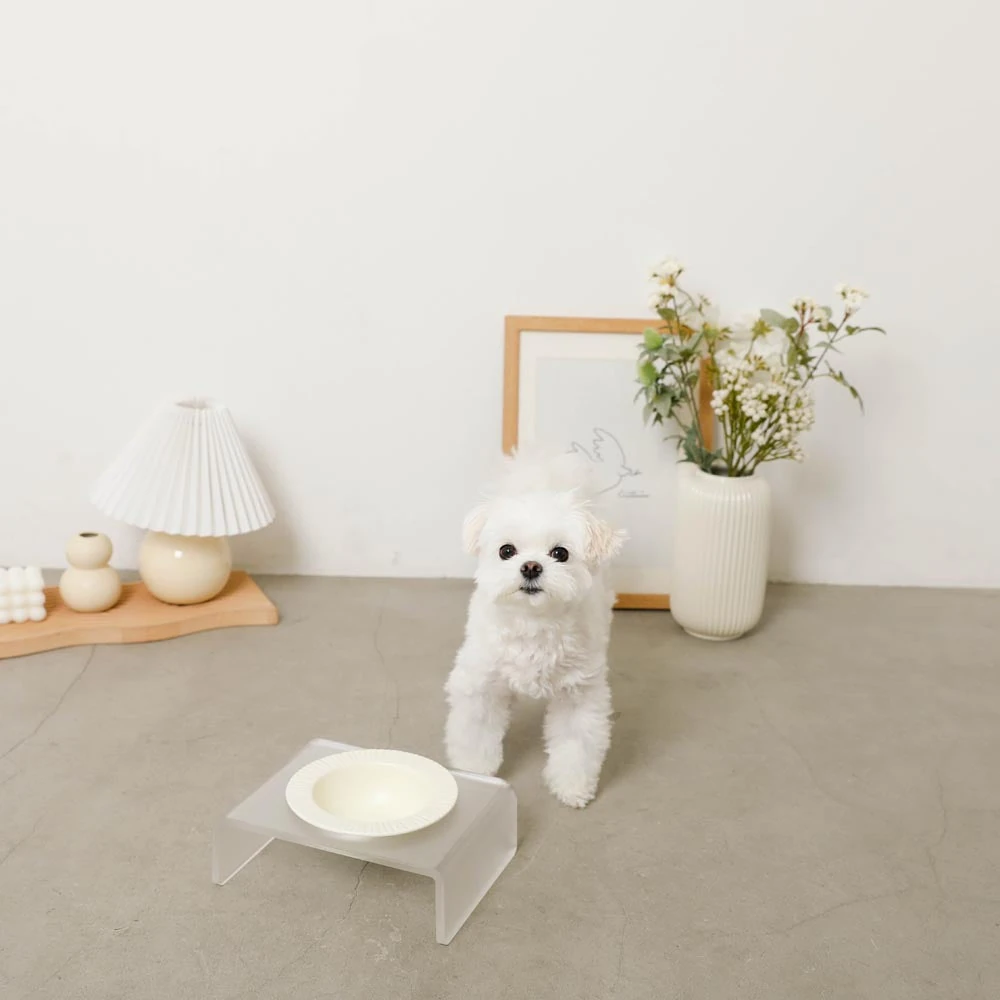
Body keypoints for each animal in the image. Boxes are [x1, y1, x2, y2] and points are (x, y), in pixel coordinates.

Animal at [444, 451, 626, 807]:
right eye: (506, 550)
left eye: (560, 553)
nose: (530, 567)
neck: (533, 622)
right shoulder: (481, 684)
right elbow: (475, 730)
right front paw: (475, 770)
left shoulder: (579, 694)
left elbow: (576, 744)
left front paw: (572, 786)